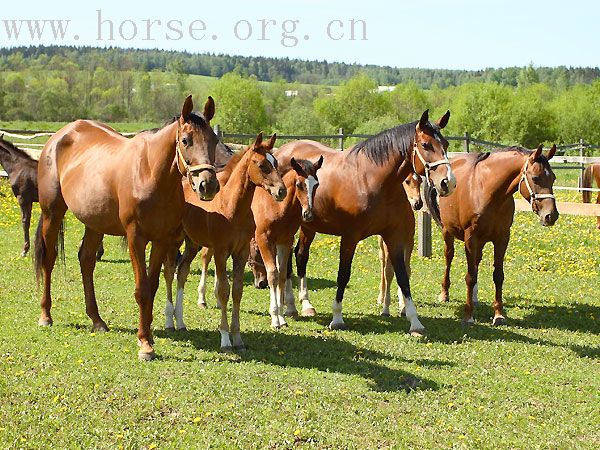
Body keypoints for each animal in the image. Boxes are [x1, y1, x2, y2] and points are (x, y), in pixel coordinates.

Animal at [34, 96, 220, 362]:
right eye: (186, 140)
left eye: (214, 140)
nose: (208, 185)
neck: (151, 173)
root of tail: (59, 137)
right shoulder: (136, 238)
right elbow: (142, 289)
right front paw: (145, 345)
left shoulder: (161, 240)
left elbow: (152, 286)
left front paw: (149, 335)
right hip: (53, 213)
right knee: (49, 260)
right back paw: (46, 315)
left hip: (94, 223)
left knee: (86, 260)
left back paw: (97, 320)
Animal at [163, 134, 288, 352]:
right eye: (261, 165)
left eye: (276, 163)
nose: (281, 191)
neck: (232, 208)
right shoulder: (221, 251)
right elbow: (223, 290)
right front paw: (225, 339)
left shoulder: (241, 252)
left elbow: (237, 291)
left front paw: (238, 338)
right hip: (174, 240)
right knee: (170, 272)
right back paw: (170, 321)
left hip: (192, 242)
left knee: (183, 270)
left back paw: (181, 322)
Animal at [276, 109, 454, 334]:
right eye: (425, 145)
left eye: (446, 144)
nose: (448, 182)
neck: (371, 181)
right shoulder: (350, 237)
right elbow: (343, 274)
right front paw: (337, 318)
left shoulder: (393, 237)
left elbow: (402, 276)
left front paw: (415, 322)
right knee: (291, 261)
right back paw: (293, 306)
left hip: (309, 227)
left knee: (299, 256)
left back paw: (302, 305)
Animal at [424, 144, 560, 324]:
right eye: (536, 178)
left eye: (553, 178)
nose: (551, 215)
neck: (487, 191)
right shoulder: (470, 239)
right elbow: (470, 277)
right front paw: (468, 315)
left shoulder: (502, 238)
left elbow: (498, 276)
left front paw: (499, 314)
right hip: (448, 231)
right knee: (449, 257)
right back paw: (444, 293)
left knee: (476, 262)